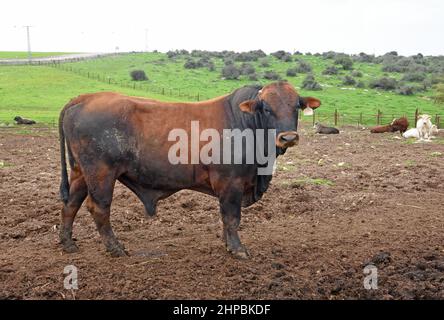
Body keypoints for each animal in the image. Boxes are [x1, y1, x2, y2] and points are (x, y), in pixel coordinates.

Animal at [59, 81, 322, 258]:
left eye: (296, 107)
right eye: (267, 108)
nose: (288, 138)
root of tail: (84, 98)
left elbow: (226, 220)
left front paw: (228, 244)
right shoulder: (231, 183)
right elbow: (231, 218)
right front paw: (237, 249)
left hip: (80, 172)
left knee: (71, 204)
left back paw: (67, 243)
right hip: (100, 173)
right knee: (99, 208)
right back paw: (115, 248)